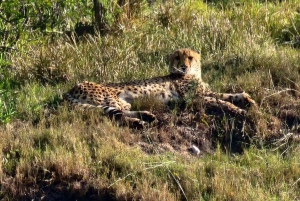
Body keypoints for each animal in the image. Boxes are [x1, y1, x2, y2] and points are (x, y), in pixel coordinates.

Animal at [63, 48, 255, 127]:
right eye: (177, 57)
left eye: (190, 57)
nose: (183, 66)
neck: (193, 74)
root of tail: (69, 90)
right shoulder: (194, 97)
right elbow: (221, 102)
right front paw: (239, 110)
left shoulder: (204, 92)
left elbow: (225, 95)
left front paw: (247, 99)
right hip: (112, 99)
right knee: (117, 115)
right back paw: (138, 122)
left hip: (118, 102)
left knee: (119, 112)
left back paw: (145, 116)